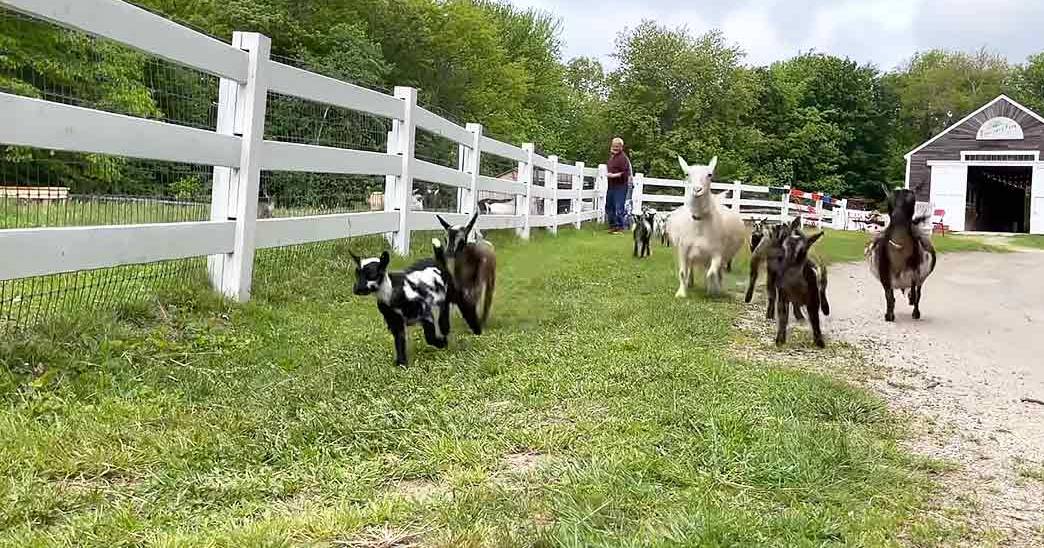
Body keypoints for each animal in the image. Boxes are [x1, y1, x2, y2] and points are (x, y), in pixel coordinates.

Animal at [666, 156, 746, 297]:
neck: (699, 223)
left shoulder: (717, 253)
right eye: (687, 174)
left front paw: (712, 290)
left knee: (716, 271)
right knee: (690, 268)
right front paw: (681, 293)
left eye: (710, 174)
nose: (697, 190)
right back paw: (690, 283)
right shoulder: (683, 249)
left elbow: (711, 273)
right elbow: (682, 272)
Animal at [770, 218, 829, 348]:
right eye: (784, 247)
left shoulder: (813, 298)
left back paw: (825, 309)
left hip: (822, 278)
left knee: (823, 291)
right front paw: (780, 340)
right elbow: (783, 317)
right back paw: (799, 316)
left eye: (803, 251)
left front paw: (819, 342)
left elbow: (815, 319)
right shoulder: (782, 296)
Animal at [866, 187, 936, 322]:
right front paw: (889, 315)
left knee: (918, 293)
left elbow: (915, 291)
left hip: (921, 278)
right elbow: (888, 296)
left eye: (912, 201)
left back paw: (915, 312)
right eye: (889, 202)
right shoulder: (884, 273)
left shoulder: (917, 271)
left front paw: (911, 300)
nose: (897, 217)